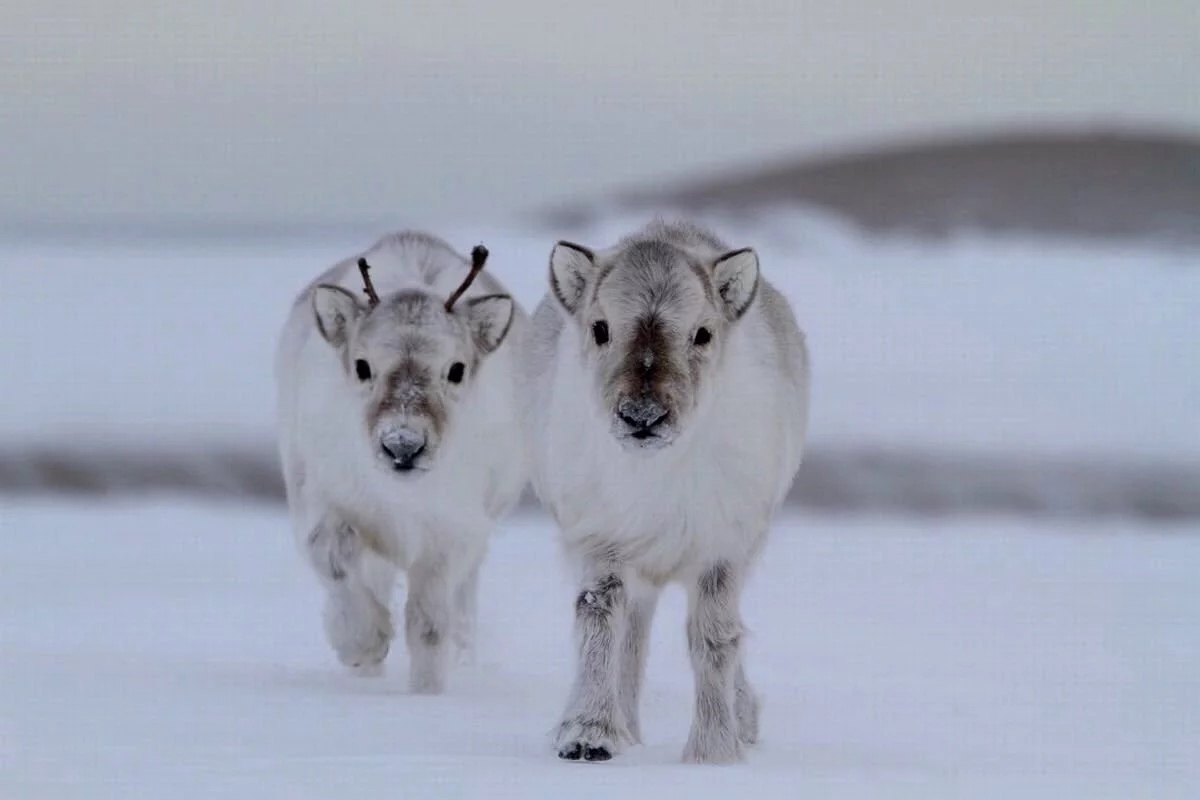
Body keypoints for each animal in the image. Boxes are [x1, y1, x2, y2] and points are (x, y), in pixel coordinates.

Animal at [280, 231, 530, 695]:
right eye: (362, 365)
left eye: (456, 369)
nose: (403, 446)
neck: (402, 496)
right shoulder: (324, 498)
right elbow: (332, 556)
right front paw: (363, 645)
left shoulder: (452, 533)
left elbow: (428, 624)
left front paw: (425, 693)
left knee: (462, 603)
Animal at [518, 219, 811, 762]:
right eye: (600, 328)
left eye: (703, 333)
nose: (642, 416)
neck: (655, 473)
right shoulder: (602, 540)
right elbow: (598, 618)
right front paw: (587, 735)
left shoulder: (722, 547)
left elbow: (714, 637)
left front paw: (714, 751)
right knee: (632, 635)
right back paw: (627, 730)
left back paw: (743, 720)